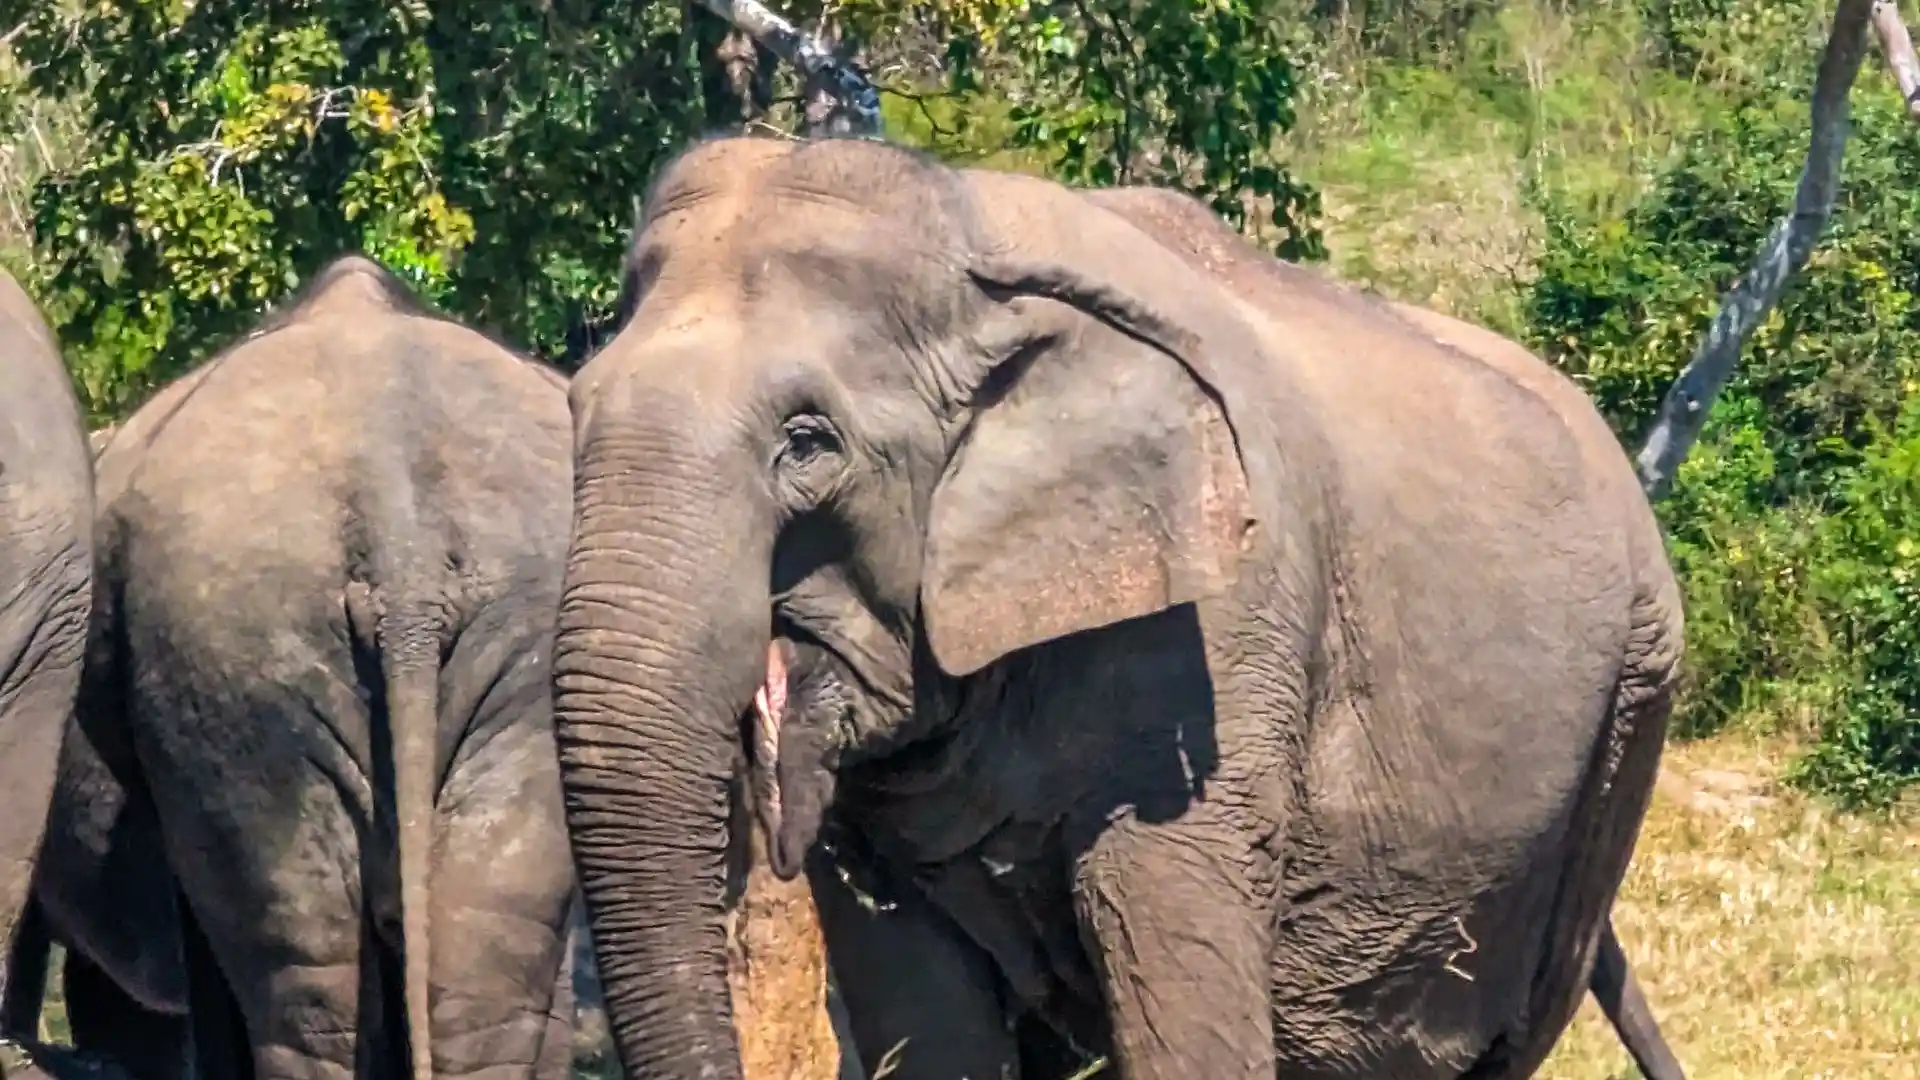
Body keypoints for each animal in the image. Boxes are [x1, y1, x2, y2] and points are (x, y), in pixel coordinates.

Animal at [551, 133, 1694, 1080]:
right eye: (576, 407)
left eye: (808, 443)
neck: (975, 233)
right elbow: (925, 1011)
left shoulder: (1216, 646)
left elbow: (1167, 964)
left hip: (1629, 718)